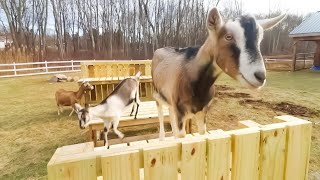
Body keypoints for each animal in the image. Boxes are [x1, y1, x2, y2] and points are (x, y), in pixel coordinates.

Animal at [152, 7, 288, 139]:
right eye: (228, 36)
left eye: (260, 39)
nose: (260, 76)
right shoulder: (180, 114)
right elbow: (180, 135)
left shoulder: (202, 112)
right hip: (157, 96)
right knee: (160, 116)